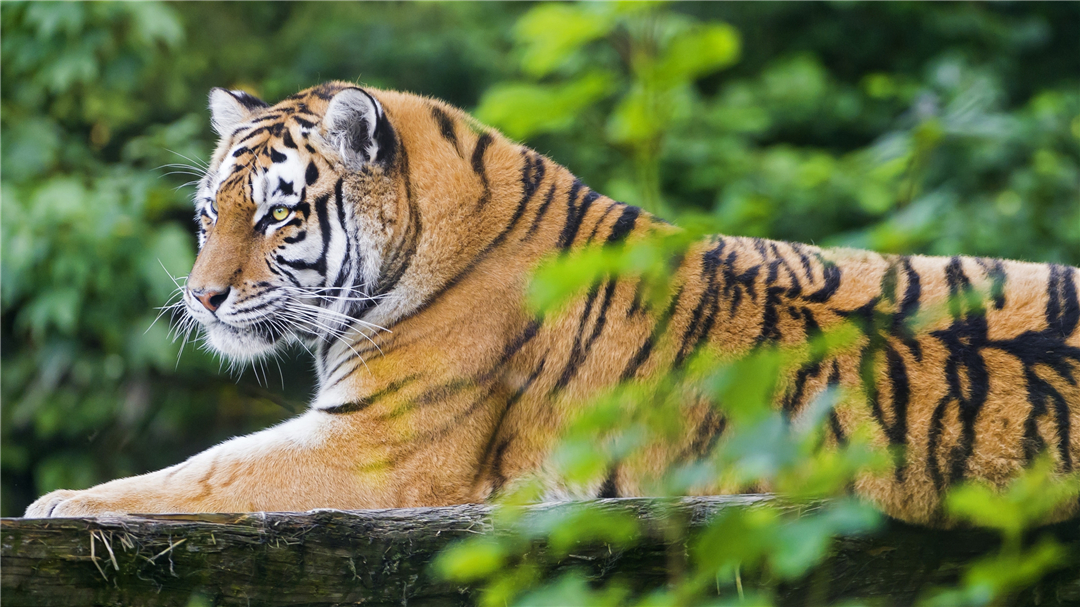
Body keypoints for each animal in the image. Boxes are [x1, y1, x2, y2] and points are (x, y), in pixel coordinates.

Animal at [27, 81, 1080, 524]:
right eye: (210, 215)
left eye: (280, 215)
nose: (201, 299)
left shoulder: (374, 448)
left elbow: (207, 472)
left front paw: (61, 501)